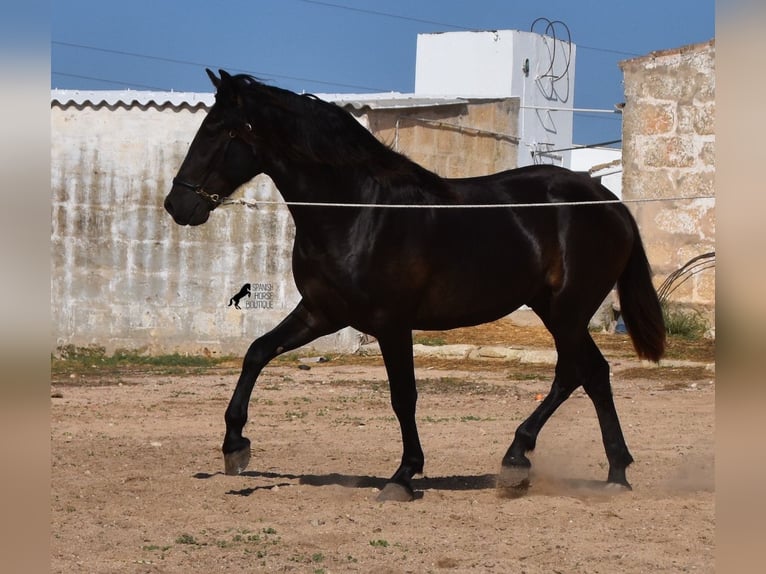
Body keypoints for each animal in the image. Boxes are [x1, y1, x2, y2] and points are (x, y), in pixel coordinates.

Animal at [166, 71, 664, 504]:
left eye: (220, 132)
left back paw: (542, 462)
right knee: (587, 374)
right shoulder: (322, 313)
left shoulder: (391, 323)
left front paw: (403, 476)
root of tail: (609, 202)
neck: (357, 211)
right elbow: (257, 352)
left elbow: (403, 397)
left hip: (567, 311)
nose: (177, 204)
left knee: (582, 373)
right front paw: (235, 447)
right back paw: (591, 469)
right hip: (554, 309)